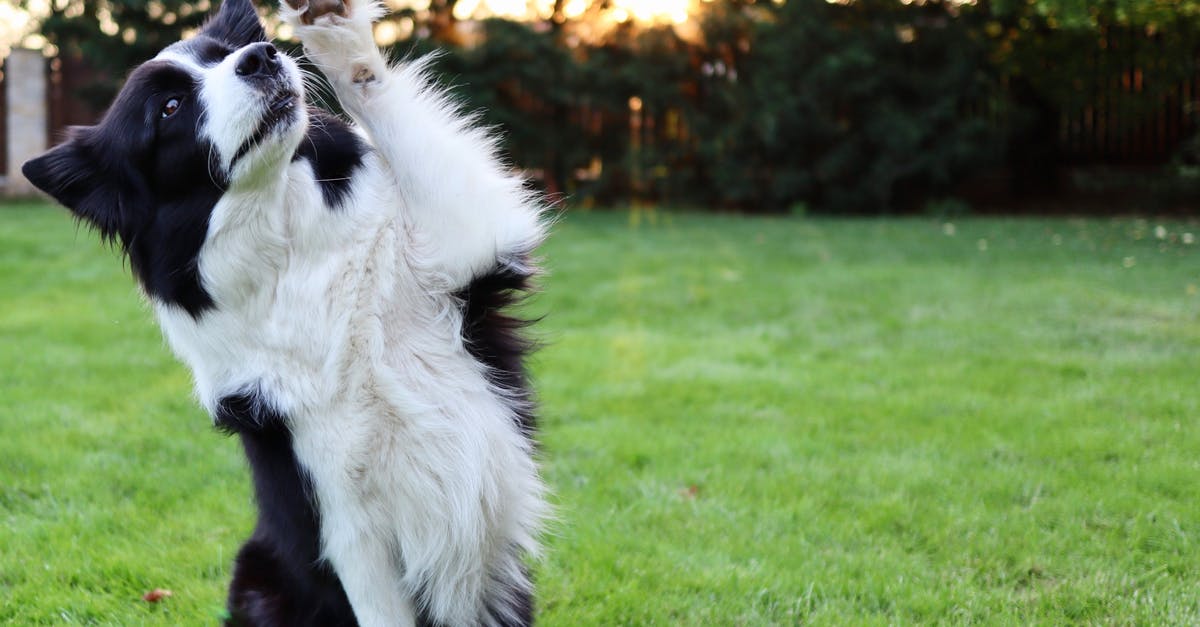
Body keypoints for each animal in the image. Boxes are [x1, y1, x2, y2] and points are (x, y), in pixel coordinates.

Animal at [21, 2, 547, 619]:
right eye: (169, 107)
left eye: (224, 56)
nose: (261, 57)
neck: (296, 252)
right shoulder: (346, 526)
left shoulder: (464, 244)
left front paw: (335, 34)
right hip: (256, 574)